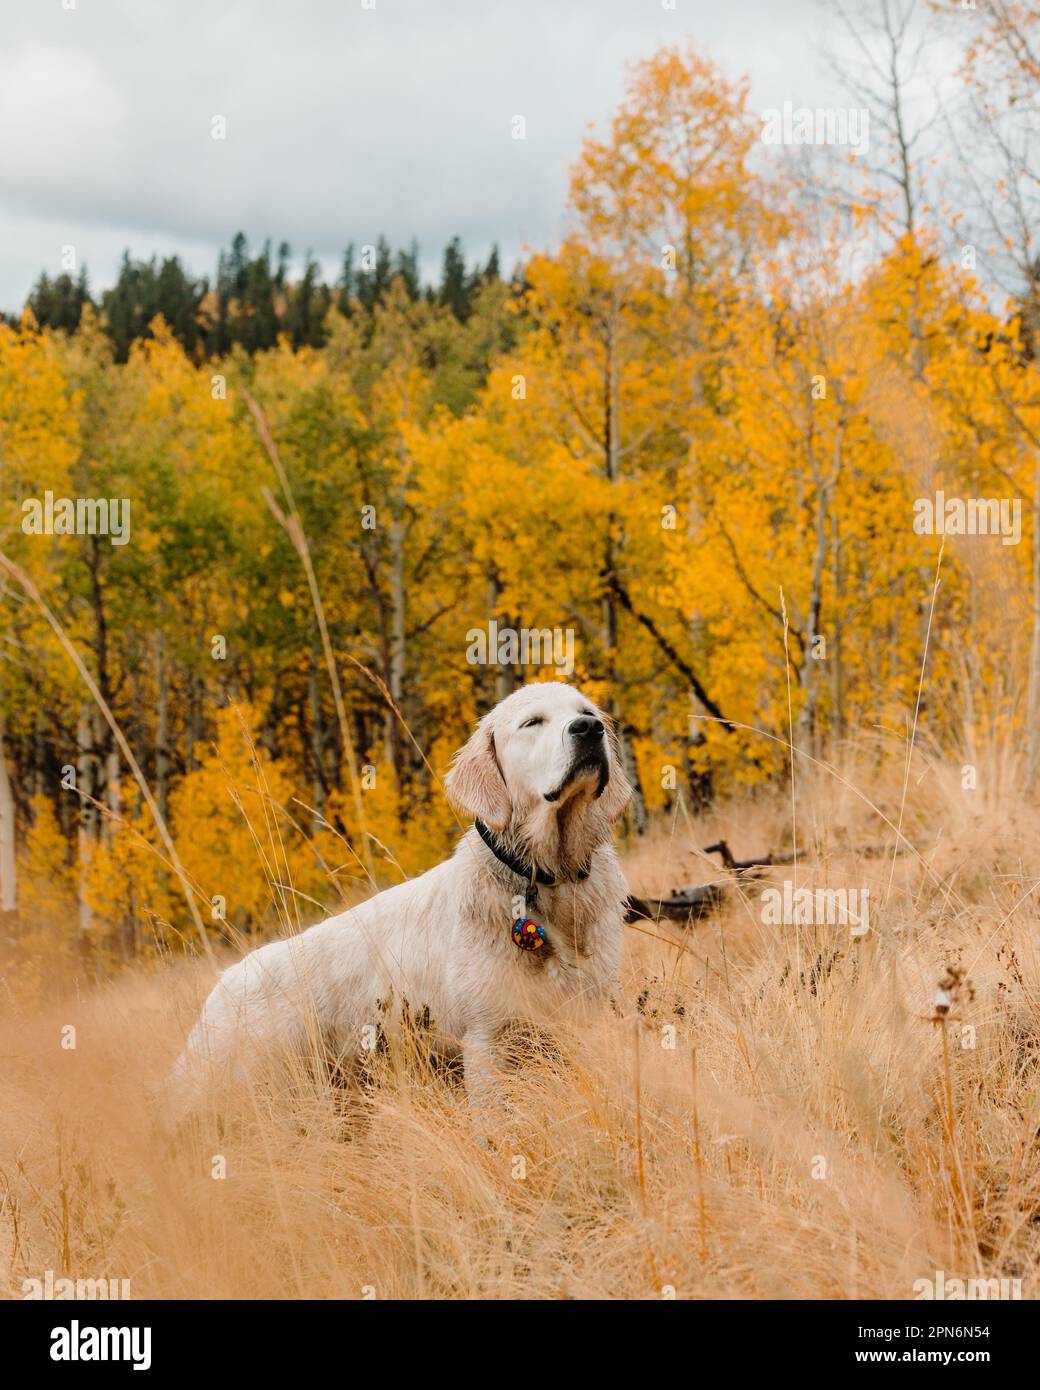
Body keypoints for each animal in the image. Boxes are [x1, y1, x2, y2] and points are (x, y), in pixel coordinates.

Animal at [166, 678, 628, 1123]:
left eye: (586, 711)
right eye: (533, 722)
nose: (589, 729)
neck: (548, 879)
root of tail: (221, 986)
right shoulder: (486, 1038)